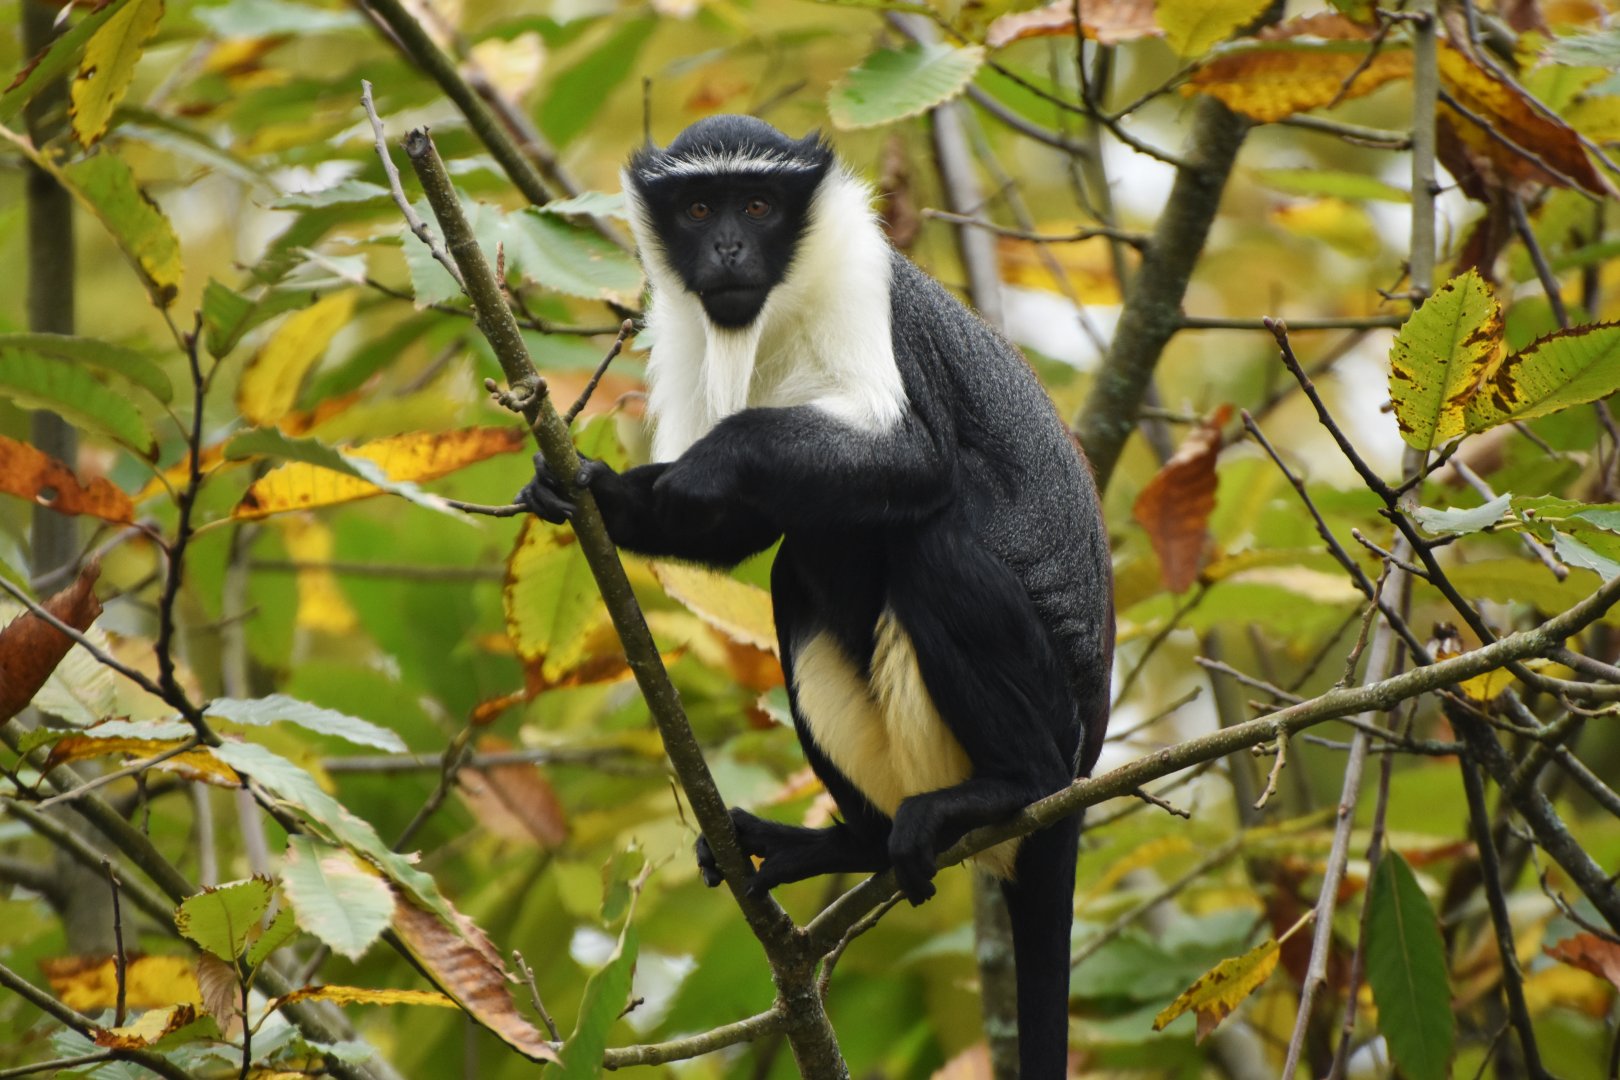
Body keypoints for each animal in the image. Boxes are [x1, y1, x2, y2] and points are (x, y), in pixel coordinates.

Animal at [518, 115, 1112, 1078]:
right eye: (698, 209)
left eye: (759, 205)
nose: (727, 248)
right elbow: (733, 529)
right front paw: (587, 487)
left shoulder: (862, 281)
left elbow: (915, 460)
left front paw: (711, 460)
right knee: (795, 567)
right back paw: (843, 843)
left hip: (1046, 717)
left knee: (932, 541)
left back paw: (1009, 787)